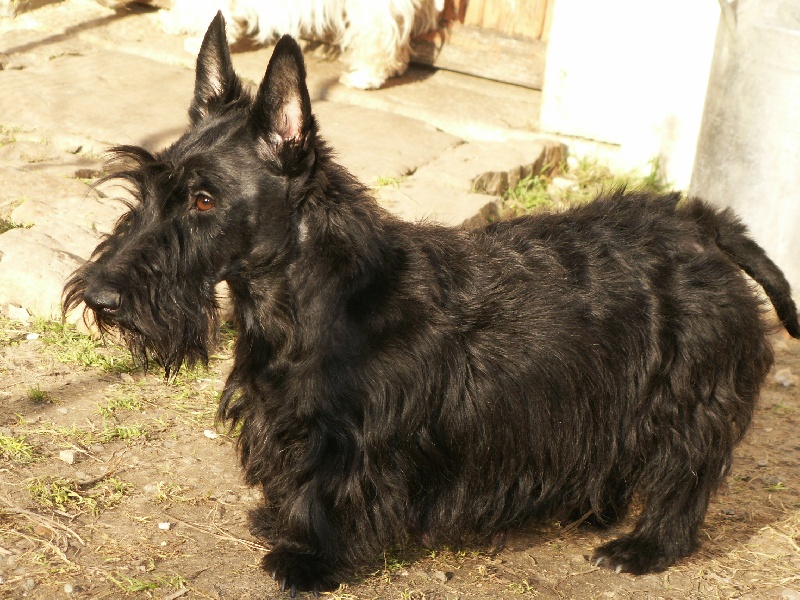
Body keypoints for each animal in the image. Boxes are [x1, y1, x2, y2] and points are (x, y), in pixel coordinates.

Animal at [64, 11, 800, 596]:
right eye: (147, 186)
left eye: (204, 200)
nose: (99, 295)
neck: (301, 298)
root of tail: (704, 224)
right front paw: (278, 521)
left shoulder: (356, 438)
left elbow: (328, 490)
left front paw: (309, 559)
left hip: (688, 397)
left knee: (685, 475)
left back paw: (642, 548)